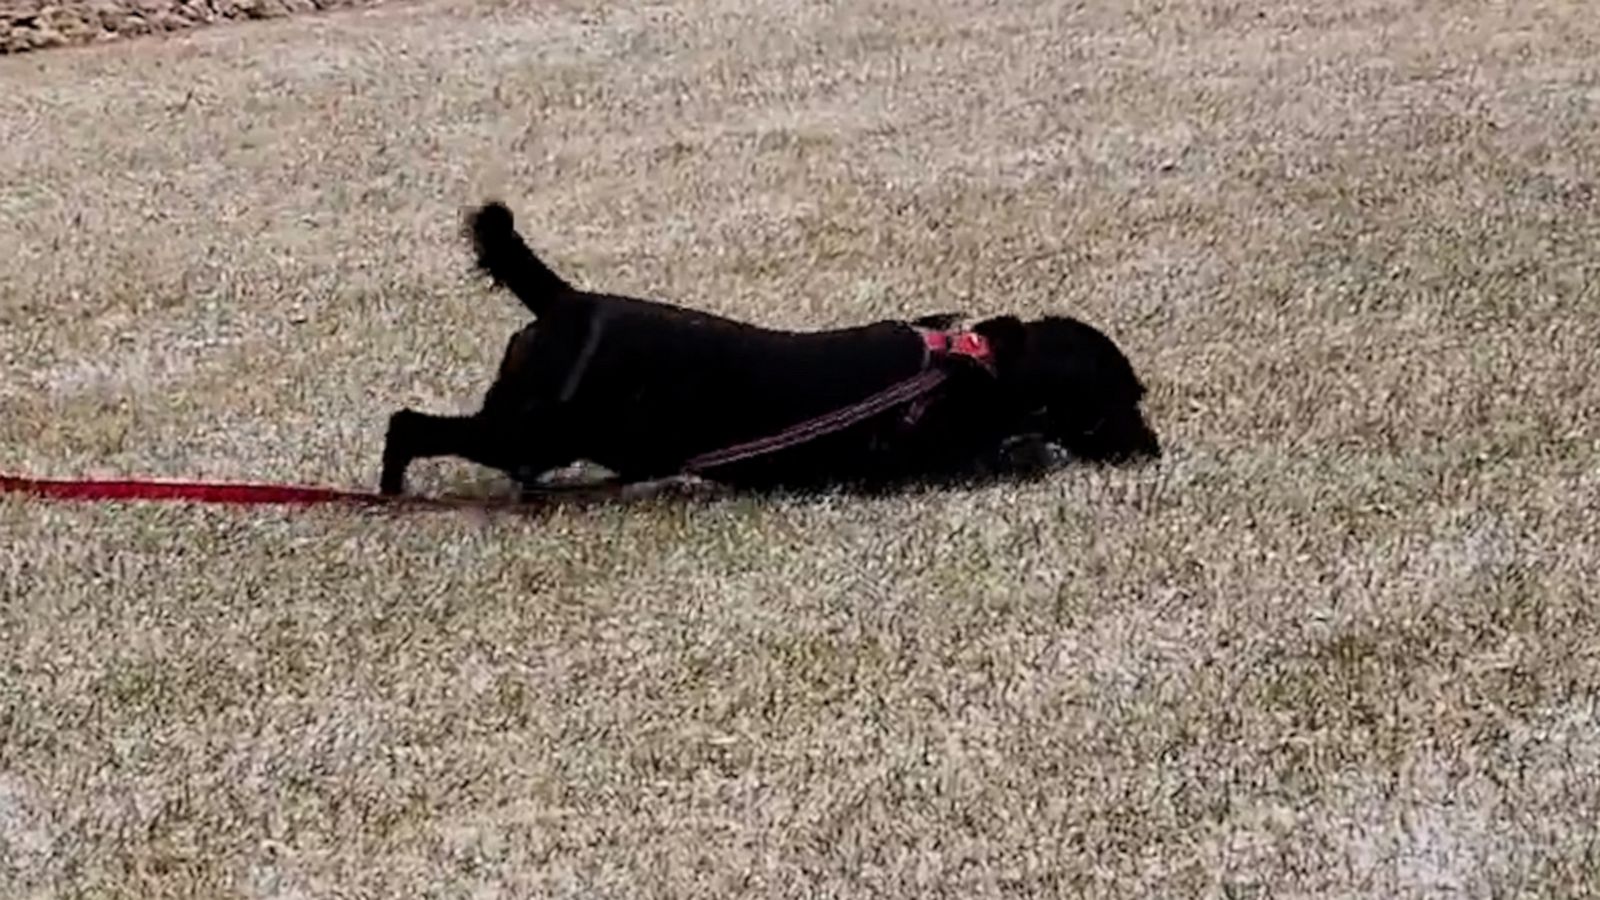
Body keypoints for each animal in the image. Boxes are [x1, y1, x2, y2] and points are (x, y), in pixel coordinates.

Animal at [380, 202, 1158, 493]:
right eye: (1124, 398)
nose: (1154, 450)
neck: (981, 368)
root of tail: (566, 300)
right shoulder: (928, 466)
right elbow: (1012, 454)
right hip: (529, 429)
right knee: (407, 425)